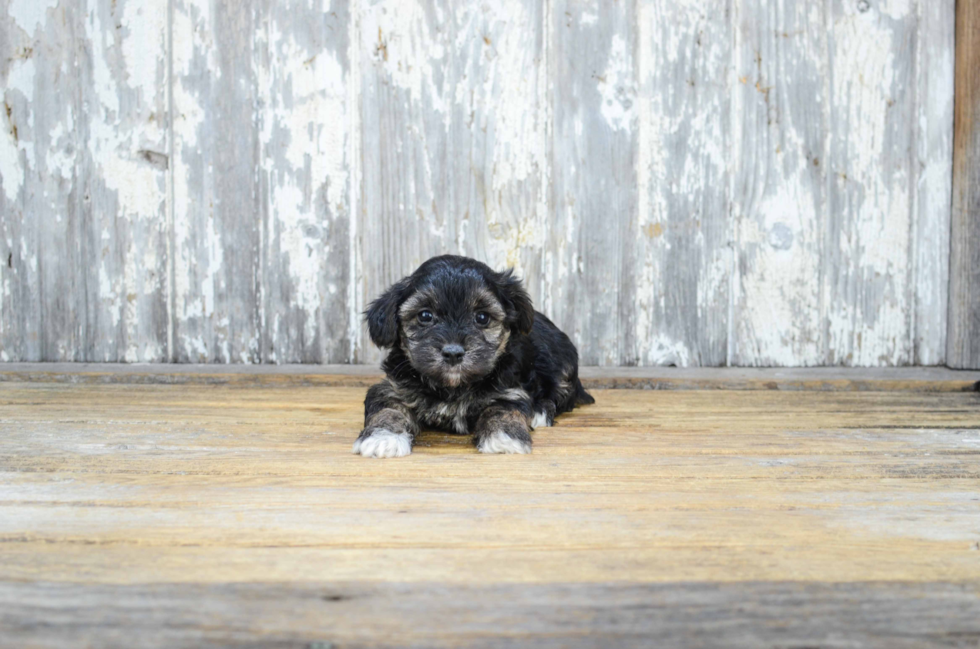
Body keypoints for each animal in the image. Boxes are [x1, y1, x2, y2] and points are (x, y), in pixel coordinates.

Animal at [354, 256, 592, 458]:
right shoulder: (392, 388)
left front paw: (504, 437)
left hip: (563, 368)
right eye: (425, 315)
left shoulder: (509, 391)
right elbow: (387, 408)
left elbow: (502, 410)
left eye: (482, 317)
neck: (453, 387)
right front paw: (383, 437)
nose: (453, 353)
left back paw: (540, 410)